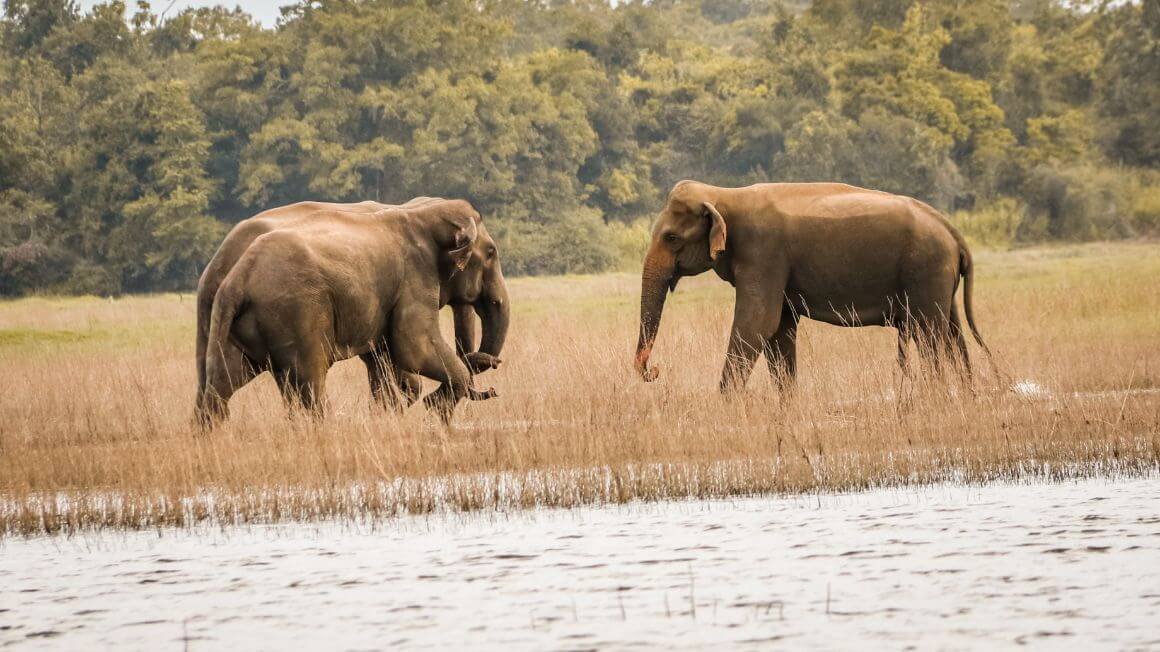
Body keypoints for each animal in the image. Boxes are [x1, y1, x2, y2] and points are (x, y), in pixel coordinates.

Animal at [194, 198, 508, 422]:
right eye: (491, 253)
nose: (495, 366)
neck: (421, 212)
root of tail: (235, 277)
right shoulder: (414, 276)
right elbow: (413, 347)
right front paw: (429, 405)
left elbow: (386, 358)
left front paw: (394, 412)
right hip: (298, 313)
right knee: (309, 383)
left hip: (231, 322)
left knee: (222, 383)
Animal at [635, 177, 997, 389]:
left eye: (671, 237)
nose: (655, 371)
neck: (722, 194)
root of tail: (952, 230)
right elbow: (779, 329)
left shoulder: (763, 253)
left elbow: (756, 324)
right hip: (939, 278)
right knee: (953, 332)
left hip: (926, 271)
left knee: (930, 333)